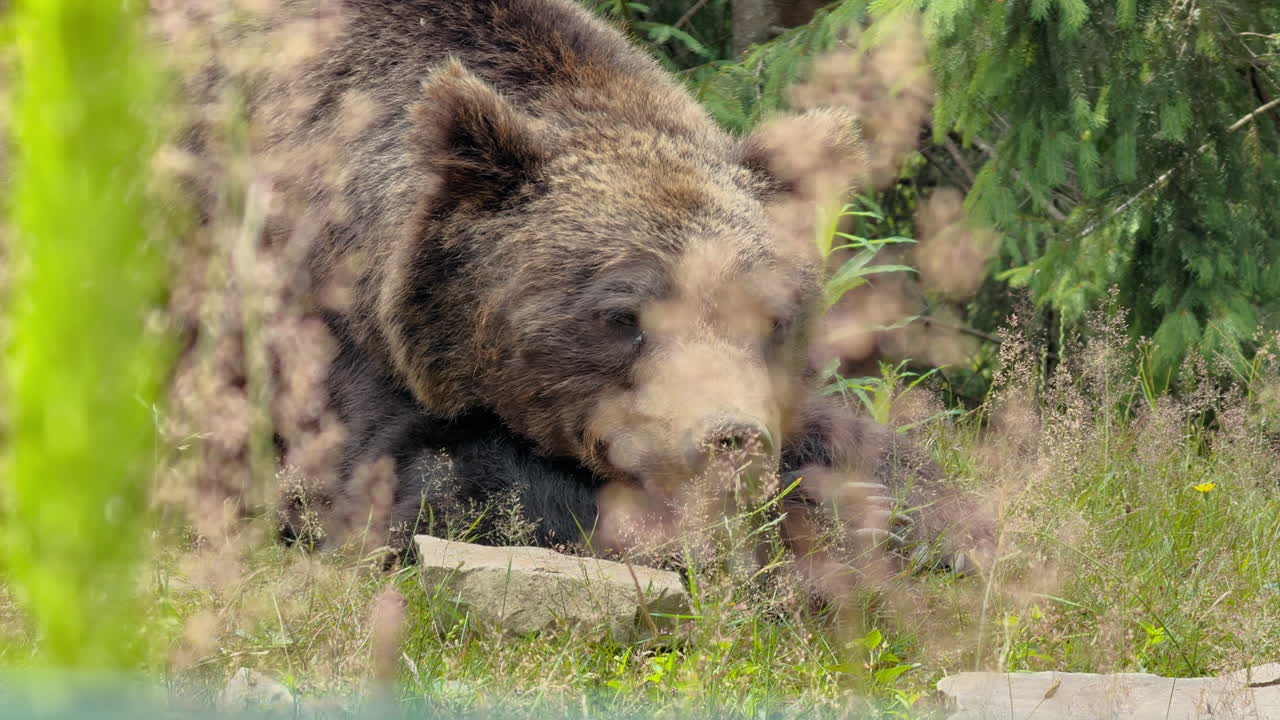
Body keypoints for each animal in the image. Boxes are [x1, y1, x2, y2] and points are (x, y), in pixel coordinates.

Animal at [170, 0, 992, 576]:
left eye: (771, 317)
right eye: (625, 314)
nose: (729, 439)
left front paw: (916, 516)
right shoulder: (322, 325)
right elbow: (424, 486)